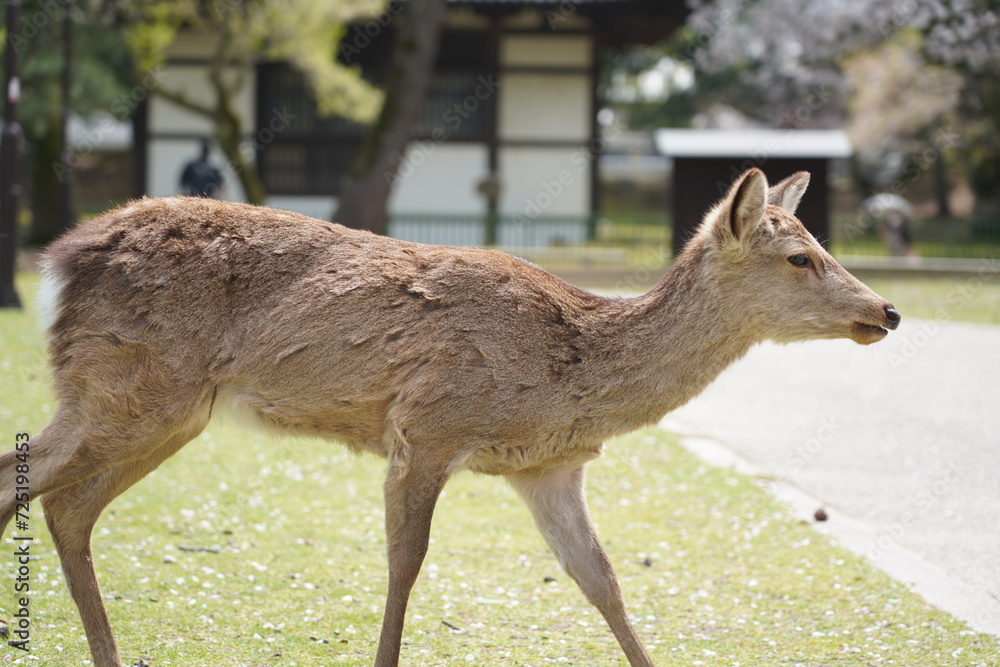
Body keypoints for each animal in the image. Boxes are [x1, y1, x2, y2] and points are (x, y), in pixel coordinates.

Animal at [1, 168, 899, 666]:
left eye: (819, 242)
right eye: (801, 255)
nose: (886, 310)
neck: (573, 366)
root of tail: (61, 260)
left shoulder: (550, 468)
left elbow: (601, 580)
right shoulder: (428, 425)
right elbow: (406, 564)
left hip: (158, 407)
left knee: (66, 504)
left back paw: (110, 655)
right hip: (128, 384)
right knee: (27, 478)